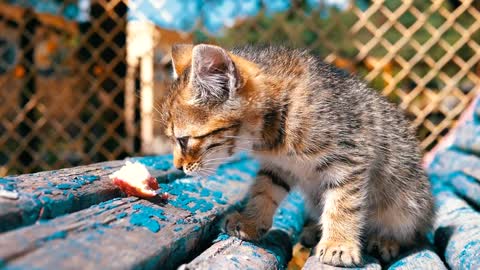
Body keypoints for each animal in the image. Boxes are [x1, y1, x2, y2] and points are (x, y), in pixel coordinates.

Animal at [161, 43, 436, 266]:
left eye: (183, 140)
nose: (177, 167)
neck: (274, 133)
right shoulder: (277, 167)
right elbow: (263, 192)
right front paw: (251, 221)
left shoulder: (350, 159)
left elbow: (343, 204)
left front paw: (339, 244)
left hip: (409, 202)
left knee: (411, 231)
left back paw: (385, 239)